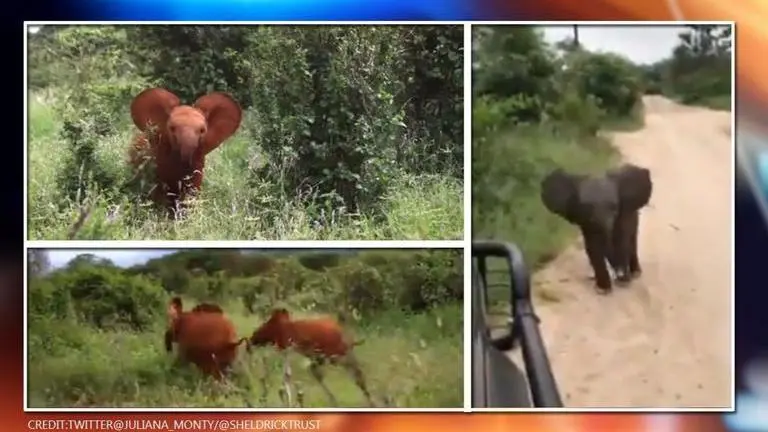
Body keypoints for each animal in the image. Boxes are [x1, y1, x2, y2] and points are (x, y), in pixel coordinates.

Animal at [540, 163, 653, 293]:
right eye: (585, 208)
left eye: (614, 207)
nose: (619, 274)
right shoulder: (586, 222)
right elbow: (593, 247)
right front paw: (603, 290)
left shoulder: (623, 214)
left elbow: (621, 241)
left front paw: (623, 282)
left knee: (632, 241)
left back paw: (635, 273)